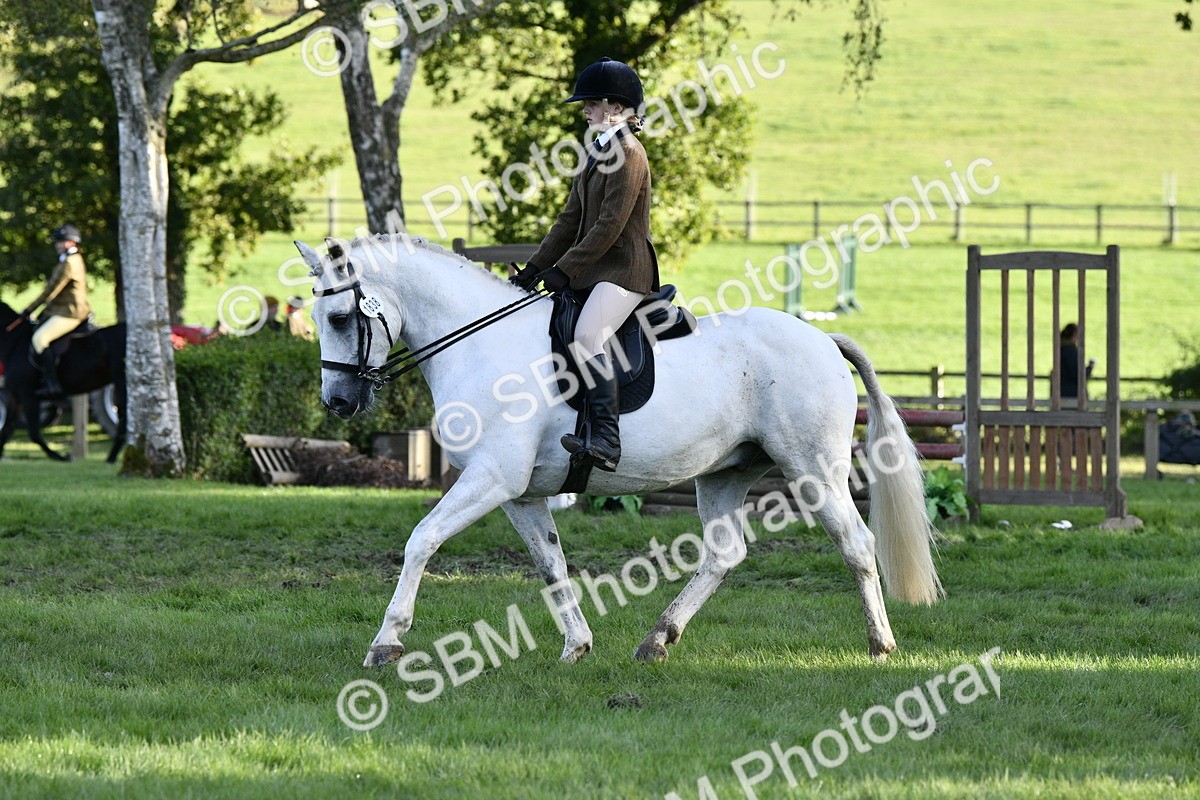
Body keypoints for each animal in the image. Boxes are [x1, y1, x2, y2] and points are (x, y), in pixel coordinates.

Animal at [0, 301, 127, 463]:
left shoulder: (27, 394)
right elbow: (7, 429)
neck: (14, 342)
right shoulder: (15, 395)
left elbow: (33, 433)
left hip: (121, 382)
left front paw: (62, 457)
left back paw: (112, 457)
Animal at [294, 234, 941, 667]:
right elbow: (551, 565)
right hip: (725, 473)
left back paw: (880, 644)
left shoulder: (491, 479)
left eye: (340, 316)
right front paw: (576, 646)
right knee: (724, 554)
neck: (480, 343)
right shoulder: (520, 493)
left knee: (856, 543)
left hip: (812, 470)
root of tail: (823, 339)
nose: (338, 402)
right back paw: (657, 639)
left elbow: (421, 540)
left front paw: (386, 642)